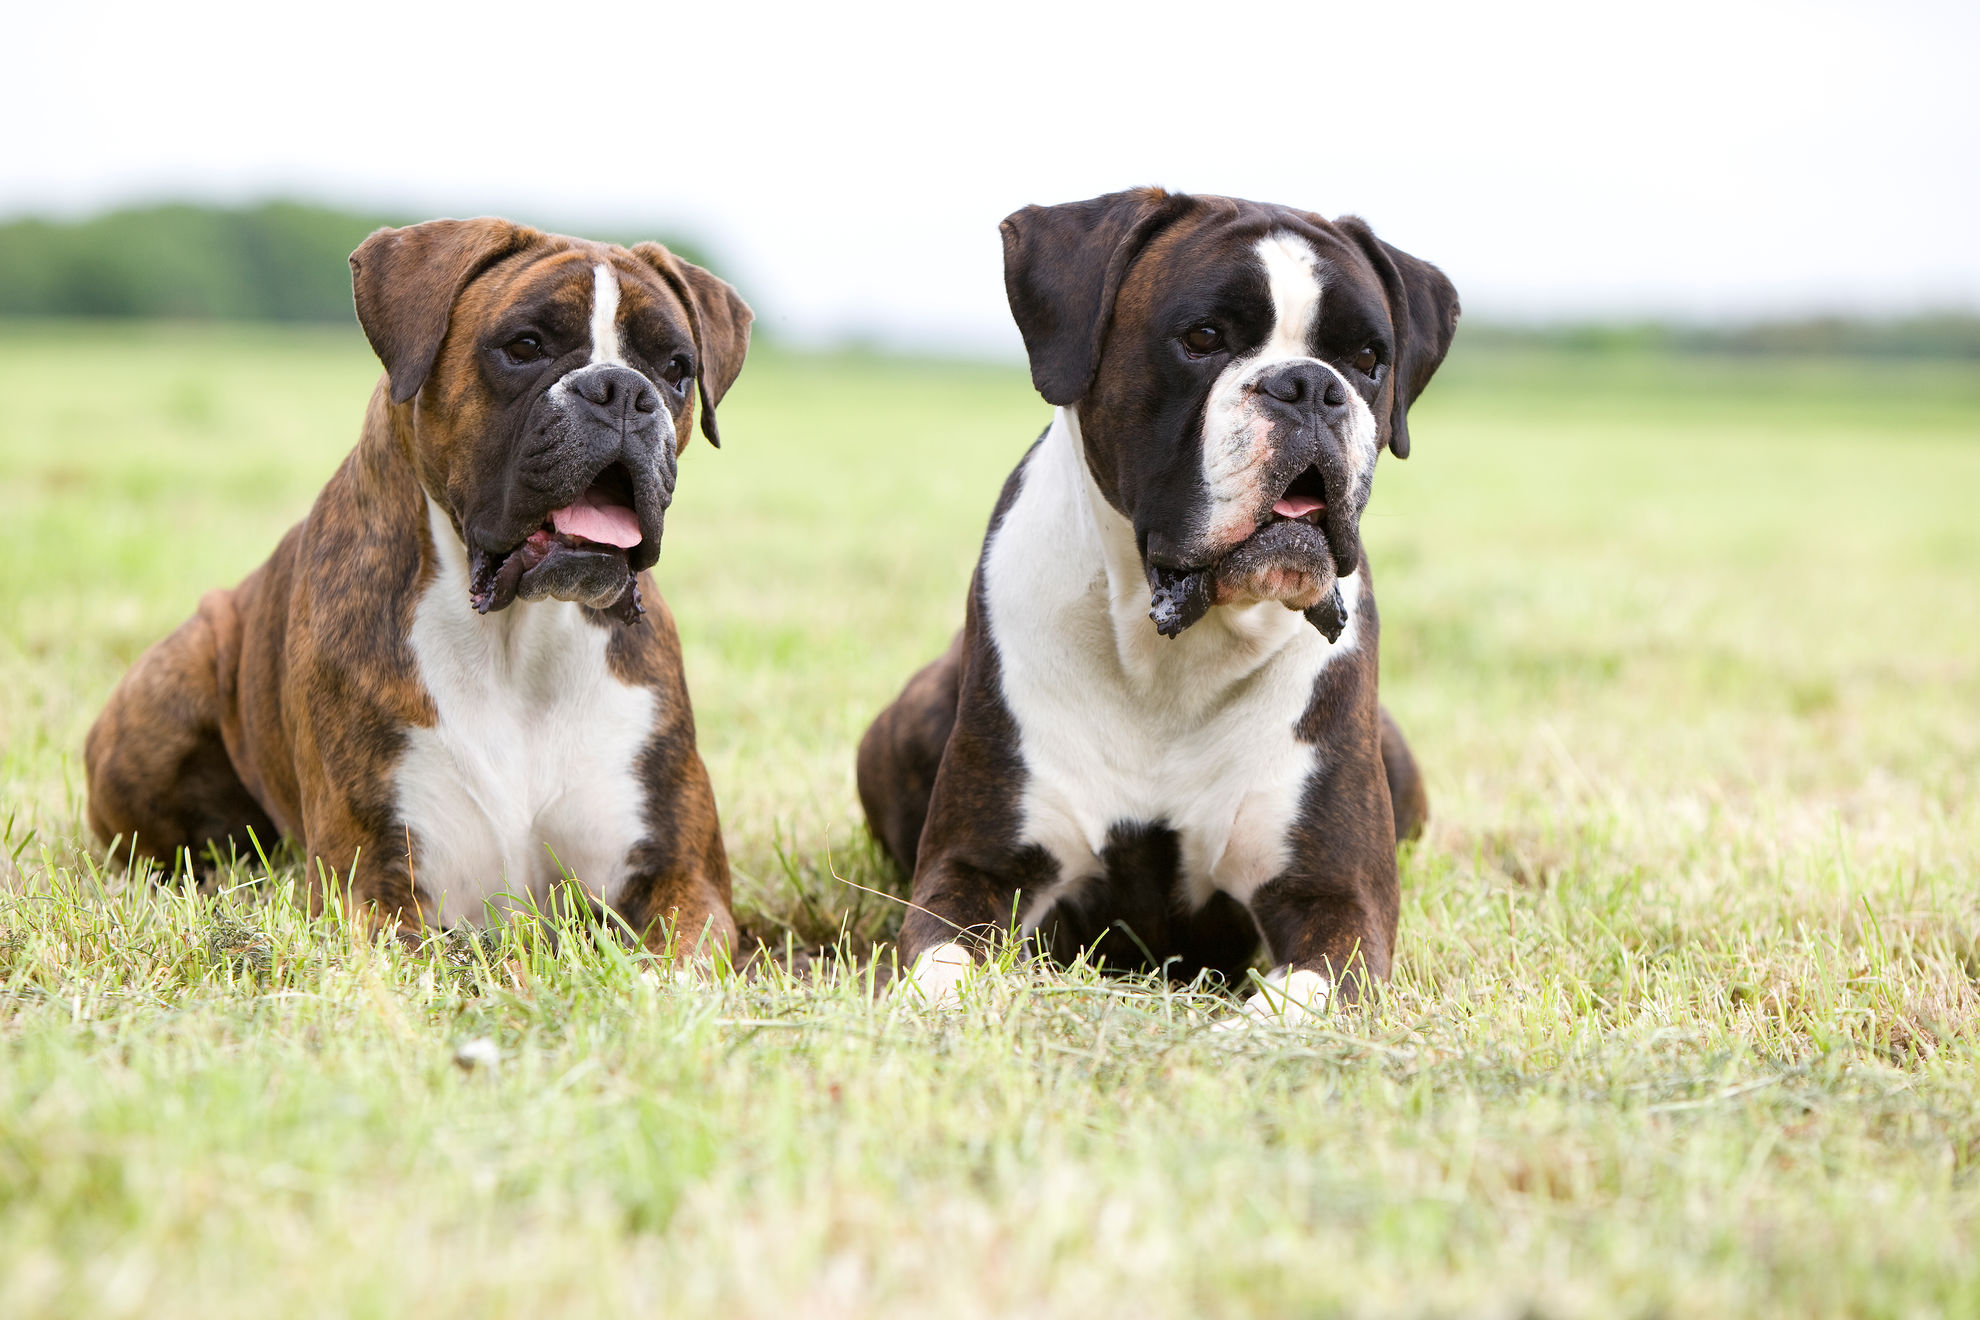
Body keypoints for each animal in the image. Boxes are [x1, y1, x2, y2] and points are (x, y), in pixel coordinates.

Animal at [85, 219, 752, 961]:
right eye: (525, 346)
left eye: (676, 368)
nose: (621, 391)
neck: (518, 638)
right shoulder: (373, 894)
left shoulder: (684, 885)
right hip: (164, 704)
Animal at [859, 186, 1465, 1021]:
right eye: (1202, 337)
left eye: (1370, 361)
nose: (1309, 386)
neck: (1177, 655)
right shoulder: (975, 871)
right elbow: (938, 966)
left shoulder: (1336, 898)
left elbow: (1299, 1001)